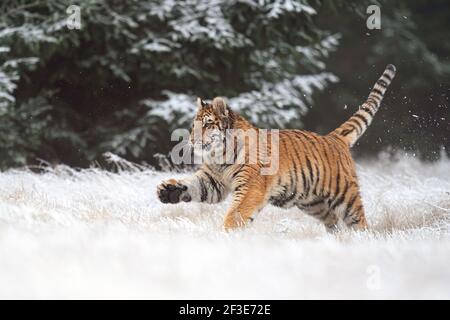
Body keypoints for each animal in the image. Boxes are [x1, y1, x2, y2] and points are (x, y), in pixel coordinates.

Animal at [158, 63, 398, 231]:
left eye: (207, 124)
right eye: (193, 125)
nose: (191, 139)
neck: (219, 153)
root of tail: (334, 137)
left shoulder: (251, 187)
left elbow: (236, 214)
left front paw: (225, 235)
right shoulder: (213, 181)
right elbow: (193, 184)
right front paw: (168, 191)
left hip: (345, 197)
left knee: (359, 222)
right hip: (312, 202)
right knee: (333, 221)